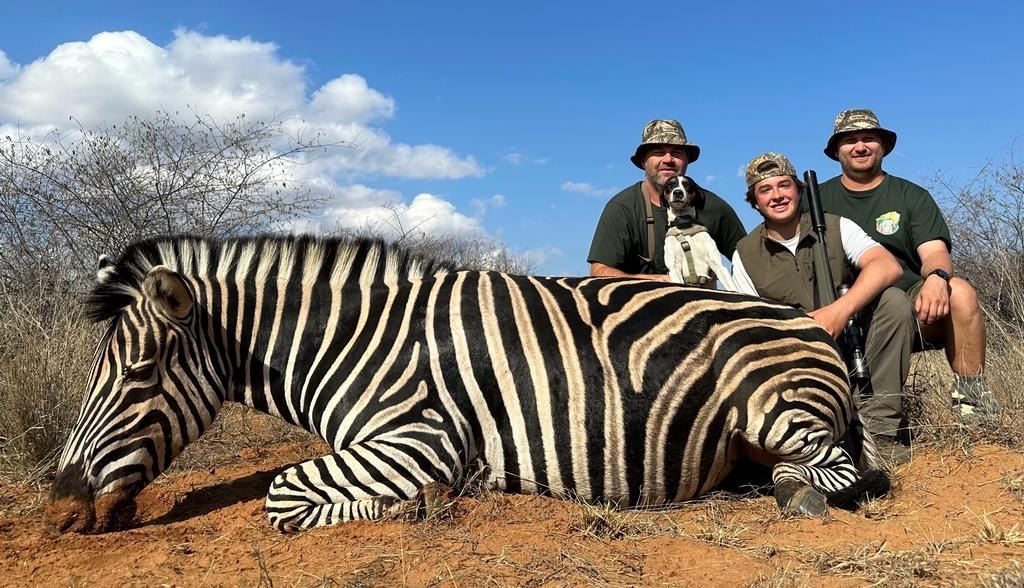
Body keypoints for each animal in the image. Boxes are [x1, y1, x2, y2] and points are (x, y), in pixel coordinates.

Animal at [45, 234, 889, 534]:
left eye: (138, 374)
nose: (60, 507)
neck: (356, 340)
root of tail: (808, 325)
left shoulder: (421, 439)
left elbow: (283, 494)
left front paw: (420, 503)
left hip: (773, 405)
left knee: (836, 469)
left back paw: (791, 493)